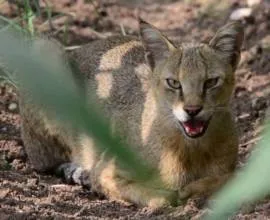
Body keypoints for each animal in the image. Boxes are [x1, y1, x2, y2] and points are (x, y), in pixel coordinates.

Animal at [20, 19, 244, 208]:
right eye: (173, 82)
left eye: (211, 82)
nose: (192, 110)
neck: (190, 151)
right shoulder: (107, 170)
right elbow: (161, 197)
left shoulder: (230, 167)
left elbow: (229, 177)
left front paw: (195, 189)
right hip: (46, 50)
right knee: (47, 161)